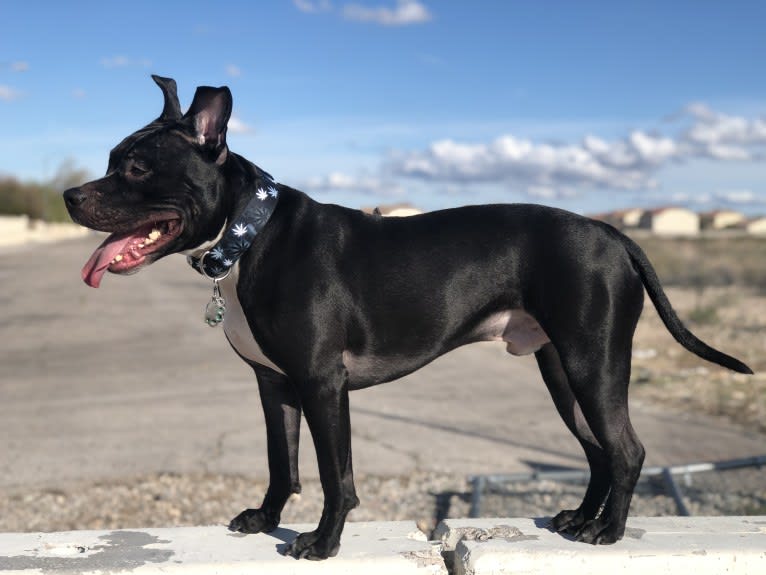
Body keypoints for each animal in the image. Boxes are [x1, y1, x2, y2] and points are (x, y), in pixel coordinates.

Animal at [66, 75, 756, 560]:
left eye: (135, 166)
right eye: (112, 158)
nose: (70, 195)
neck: (250, 233)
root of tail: (614, 234)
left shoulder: (322, 383)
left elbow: (334, 473)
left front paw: (323, 543)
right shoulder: (274, 385)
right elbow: (281, 462)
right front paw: (266, 520)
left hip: (594, 362)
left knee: (627, 449)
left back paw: (606, 532)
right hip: (562, 371)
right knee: (598, 450)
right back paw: (580, 519)